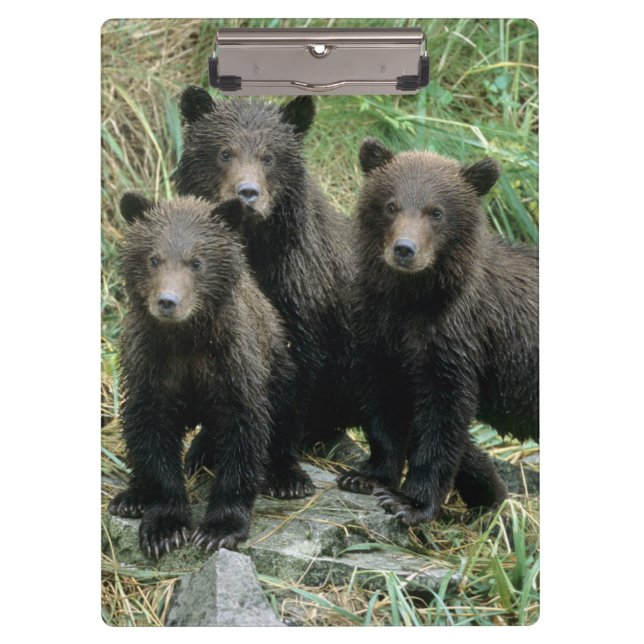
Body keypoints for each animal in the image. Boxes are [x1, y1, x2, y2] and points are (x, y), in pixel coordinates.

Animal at [108, 193, 294, 558]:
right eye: (154, 258)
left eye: (196, 262)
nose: (168, 301)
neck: (186, 338)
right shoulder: (150, 366)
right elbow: (151, 433)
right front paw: (165, 527)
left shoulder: (232, 365)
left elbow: (243, 433)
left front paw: (219, 528)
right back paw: (131, 497)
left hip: (279, 364)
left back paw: (286, 479)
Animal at [174, 87, 358, 498]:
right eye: (224, 152)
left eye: (269, 156)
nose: (247, 193)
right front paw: (202, 451)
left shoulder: (298, 293)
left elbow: (292, 373)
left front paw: (286, 475)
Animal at [337, 138, 538, 526]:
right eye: (391, 205)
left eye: (437, 212)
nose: (404, 249)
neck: (414, 300)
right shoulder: (379, 330)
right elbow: (384, 402)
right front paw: (366, 476)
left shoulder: (455, 340)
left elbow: (442, 421)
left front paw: (411, 502)